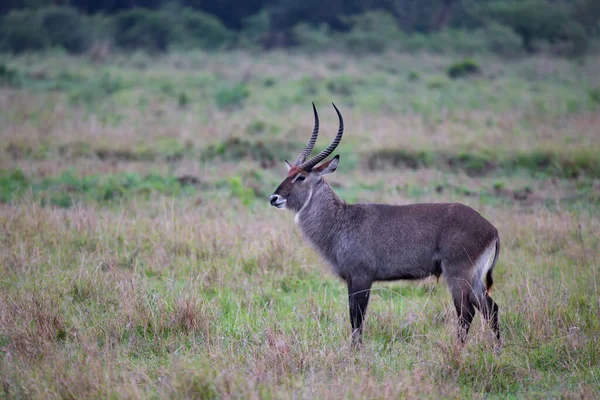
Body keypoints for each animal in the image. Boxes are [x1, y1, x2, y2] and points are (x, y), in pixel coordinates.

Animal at [268, 103, 502, 346]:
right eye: (289, 172)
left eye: (301, 177)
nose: (274, 198)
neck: (340, 221)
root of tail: (491, 229)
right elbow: (355, 317)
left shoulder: (361, 277)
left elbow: (357, 318)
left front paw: (356, 350)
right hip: (474, 277)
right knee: (491, 308)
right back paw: (497, 348)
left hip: (458, 274)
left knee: (466, 312)